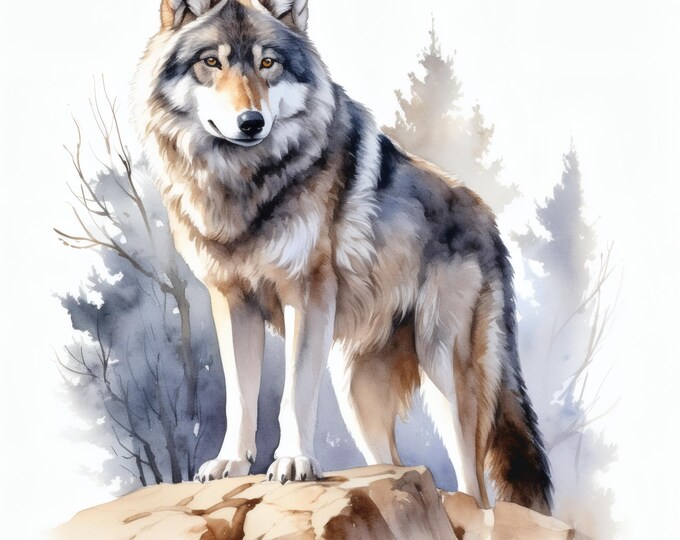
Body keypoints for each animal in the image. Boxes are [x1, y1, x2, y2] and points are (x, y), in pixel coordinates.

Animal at [135, 0, 552, 514]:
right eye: (211, 62)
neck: (244, 183)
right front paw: (230, 463)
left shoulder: (306, 296)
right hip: (357, 392)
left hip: (446, 370)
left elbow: (293, 393)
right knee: (395, 464)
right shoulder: (231, 302)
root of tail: (489, 220)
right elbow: (240, 396)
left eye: (267, 63)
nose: (251, 122)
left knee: (476, 489)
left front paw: (293, 462)